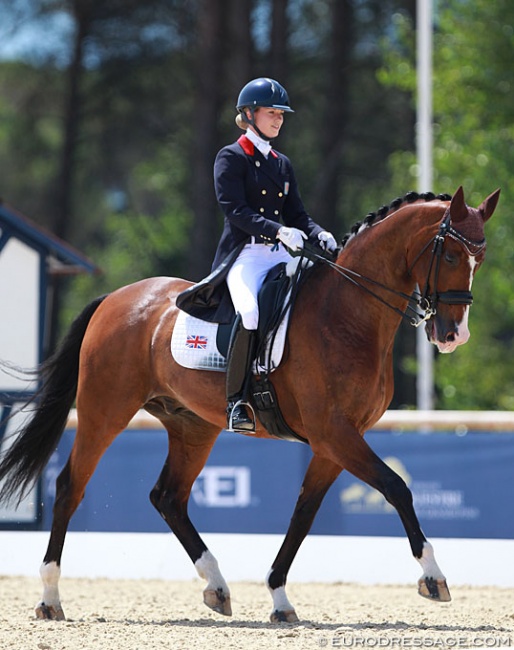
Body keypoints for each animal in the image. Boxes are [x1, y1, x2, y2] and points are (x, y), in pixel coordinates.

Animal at [0, 185, 498, 620]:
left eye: (481, 258)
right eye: (450, 255)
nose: (453, 336)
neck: (347, 312)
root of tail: (117, 298)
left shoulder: (334, 442)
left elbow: (304, 513)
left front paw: (279, 597)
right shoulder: (335, 433)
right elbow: (397, 487)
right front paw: (433, 577)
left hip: (193, 426)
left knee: (168, 497)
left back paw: (216, 586)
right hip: (105, 410)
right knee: (71, 486)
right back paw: (49, 598)